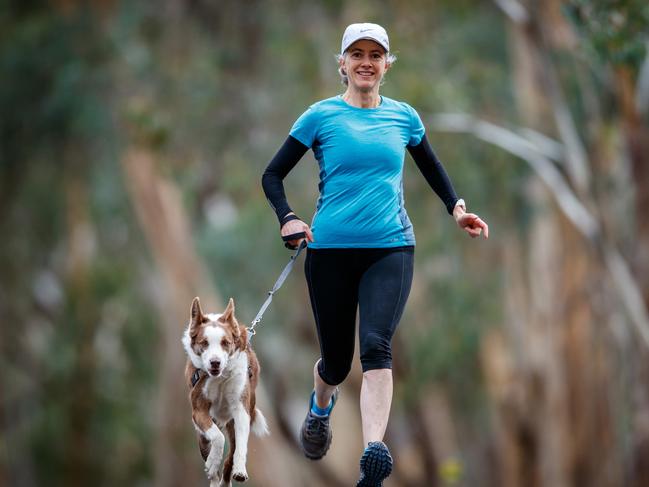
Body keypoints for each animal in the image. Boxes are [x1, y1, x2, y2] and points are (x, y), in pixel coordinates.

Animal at [182, 296, 268, 486]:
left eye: (225, 343)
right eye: (204, 343)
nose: (215, 362)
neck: (220, 377)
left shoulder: (241, 409)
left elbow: (240, 447)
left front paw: (240, 470)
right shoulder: (199, 410)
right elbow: (218, 438)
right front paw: (213, 463)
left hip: (233, 422)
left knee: (230, 457)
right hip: (202, 436)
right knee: (212, 450)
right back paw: (214, 474)